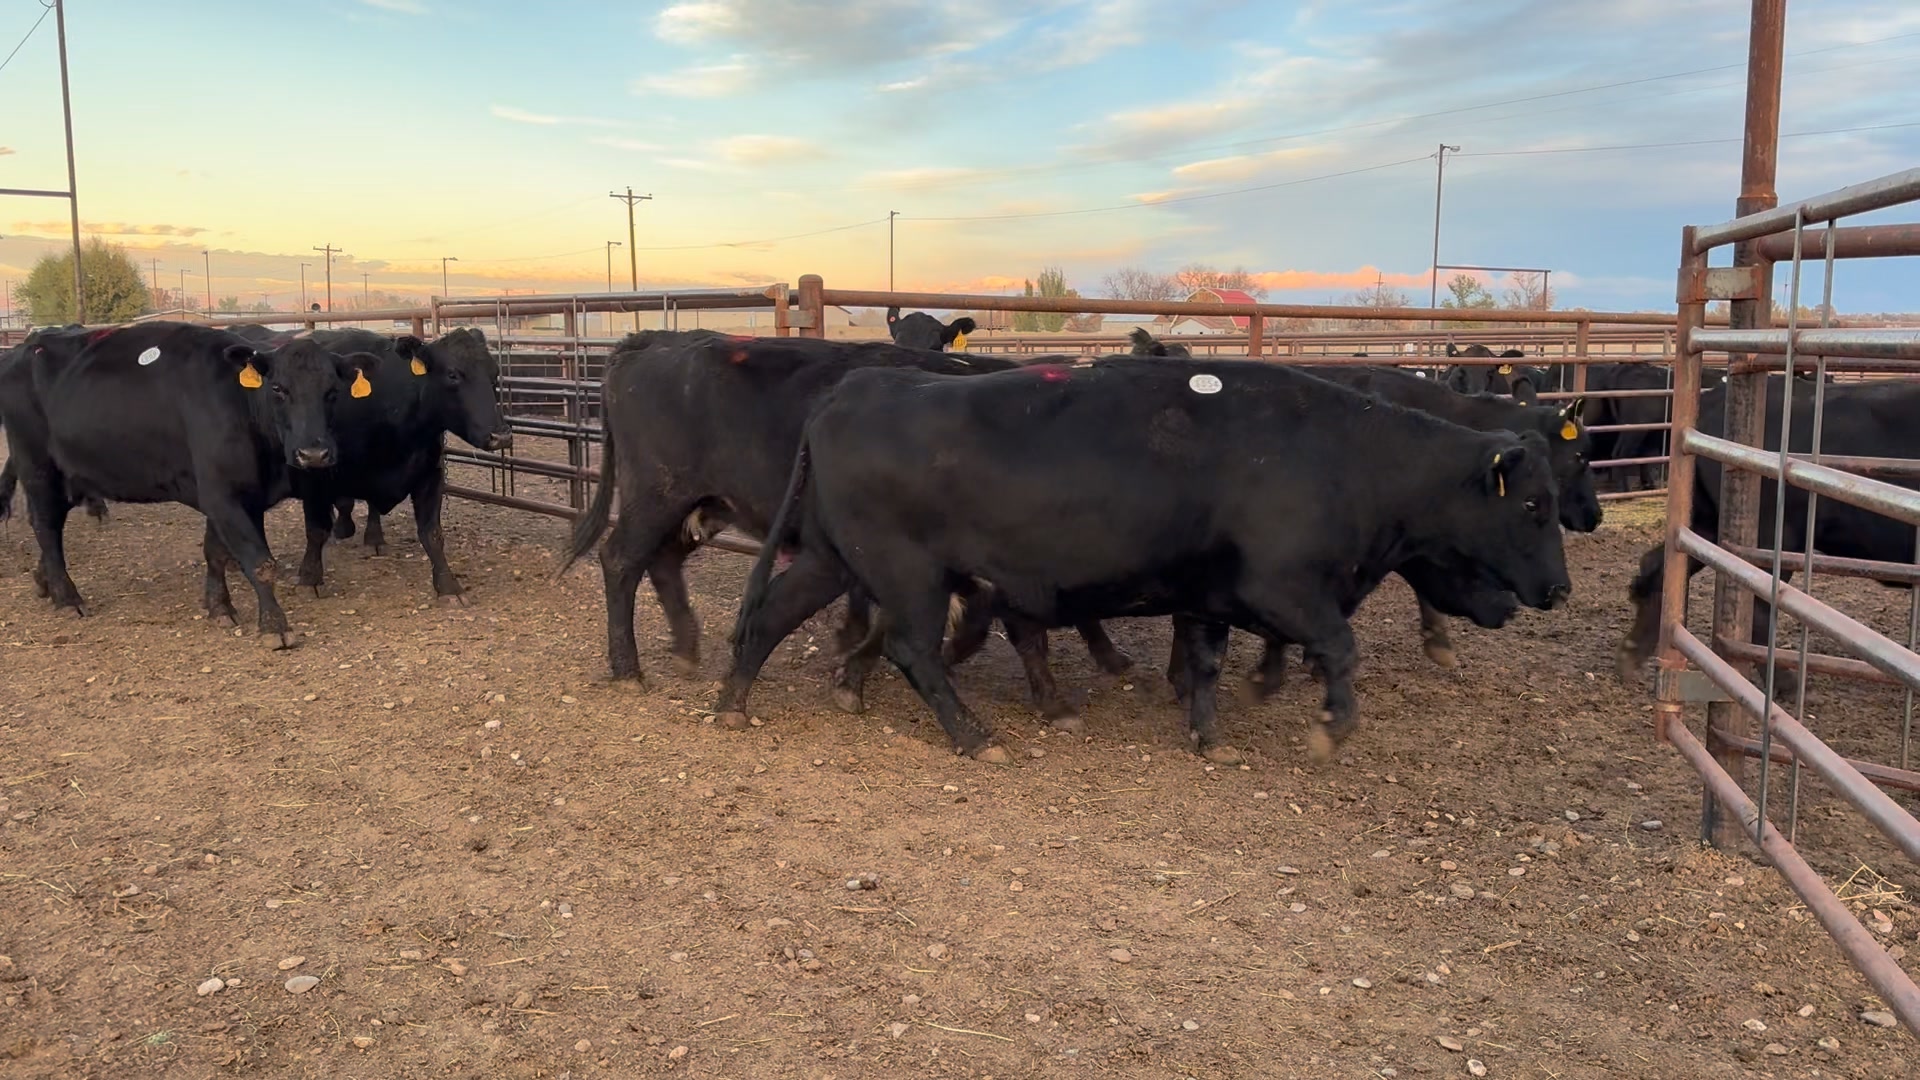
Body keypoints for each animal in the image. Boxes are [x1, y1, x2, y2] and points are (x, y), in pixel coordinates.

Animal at [0, 321, 375, 647]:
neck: (241, 405)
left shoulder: (238, 495)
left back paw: (44, 581)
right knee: (46, 525)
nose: (314, 453)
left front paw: (219, 606)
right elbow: (260, 563)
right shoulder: (222, 495)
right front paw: (274, 626)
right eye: (279, 389)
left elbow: (216, 552)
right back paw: (67, 597)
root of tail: (26, 347)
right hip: (37, 466)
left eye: (332, 392)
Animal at [280, 327, 511, 604]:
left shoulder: (430, 476)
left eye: (494, 374)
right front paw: (309, 578)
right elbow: (316, 531)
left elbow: (432, 533)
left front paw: (448, 585)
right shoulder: (314, 470)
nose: (500, 436)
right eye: (453, 374)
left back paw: (373, 536)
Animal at [559, 330, 1131, 710]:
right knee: (621, 560)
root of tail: (654, 339)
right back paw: (628, 669)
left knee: (662, 561)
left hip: (701, 503)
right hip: (657, 491)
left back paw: (684, 647)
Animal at [715, 356, 1572, 765]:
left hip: (838, 558)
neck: (1346, 457)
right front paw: (1333, 728)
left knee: (767, 614)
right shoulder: (1284, 587)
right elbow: (1339, 647)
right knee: (911, 649)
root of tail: (855, 388)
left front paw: (1209, 733)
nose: (1558, 590)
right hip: (908, 574)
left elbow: (1209, 662)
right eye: (1534, 505)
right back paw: (973, 734)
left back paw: (734, 703)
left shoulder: (1210, 593)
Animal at [1617, 375, 1920, 688]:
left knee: (1659, 566)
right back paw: (1785, 684)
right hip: (1774, 537)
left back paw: (1631, 655)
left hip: (1706, 521)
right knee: (1759, 605)